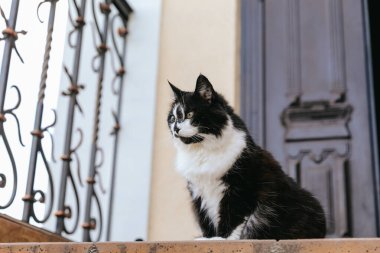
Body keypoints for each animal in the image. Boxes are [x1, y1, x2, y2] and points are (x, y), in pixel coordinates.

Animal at [167, 74, 326, 240]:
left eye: (189, 114)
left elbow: (234, 219)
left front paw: (223, 239)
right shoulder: (198, 193)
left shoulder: (240, 188)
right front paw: (208, 238)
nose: (175, 128)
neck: (202, 151)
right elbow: (205, 220)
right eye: (172, 118)